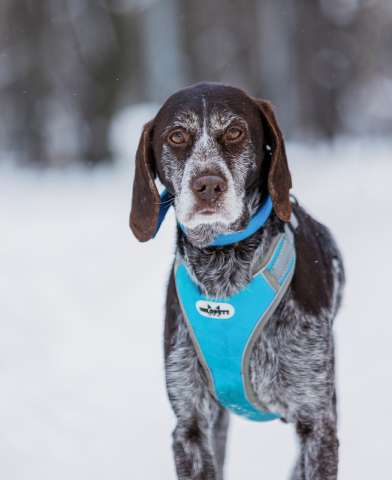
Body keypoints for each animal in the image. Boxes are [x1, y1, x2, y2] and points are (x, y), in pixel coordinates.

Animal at [129, 83, 344, 480]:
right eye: (177, 136)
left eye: (235, 131)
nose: (208, 185)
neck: (224, 266)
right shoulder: (191, 426)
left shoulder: (316, 422)